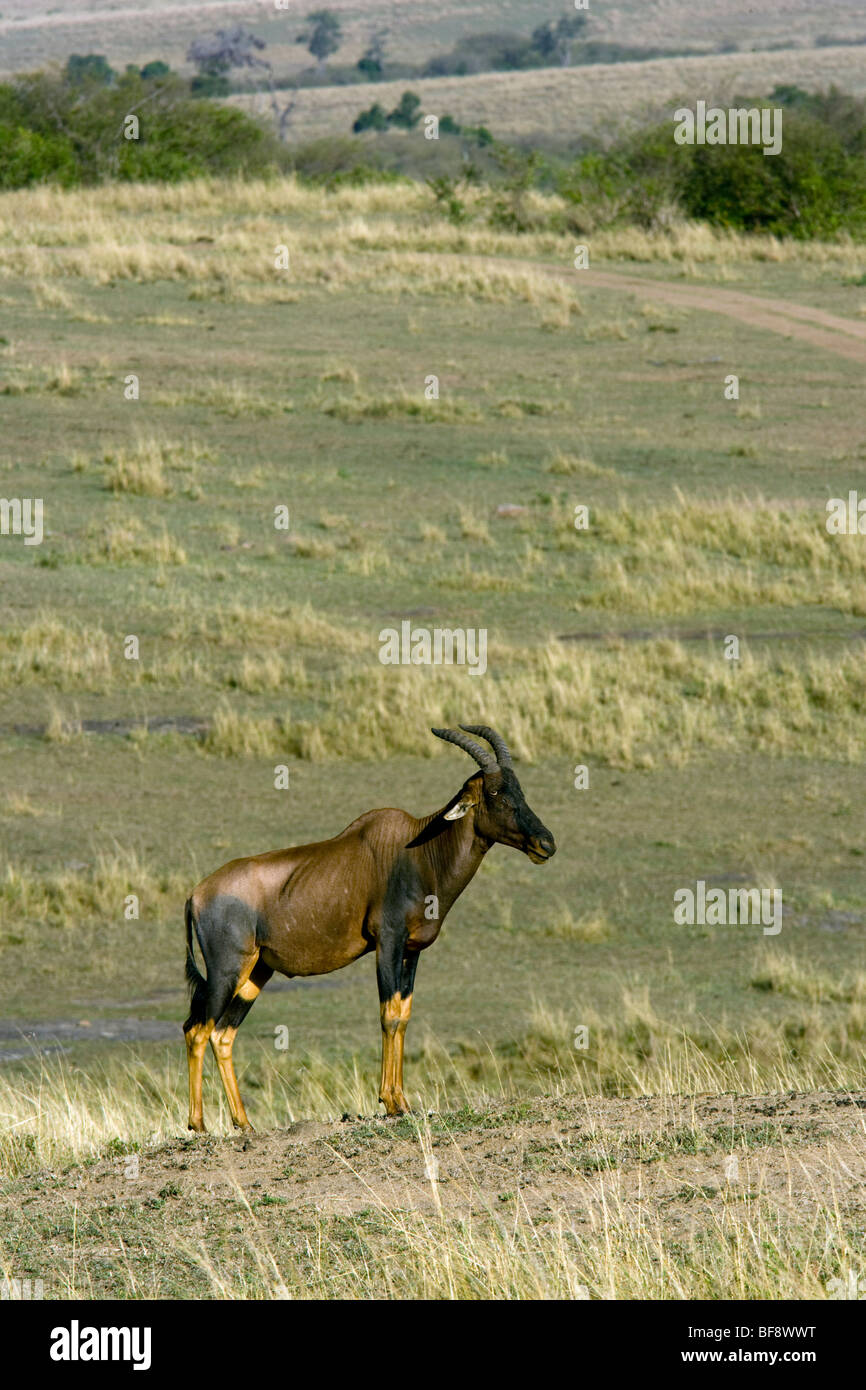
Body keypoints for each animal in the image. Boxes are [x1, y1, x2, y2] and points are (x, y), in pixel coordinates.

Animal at [186, 728, 558, 1128]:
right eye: (494, 793)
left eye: (519, 789)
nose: (546, 844)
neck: (416, 851)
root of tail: (196, 894)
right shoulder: (388, 943)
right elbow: (388, 1015)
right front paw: (391, 1102)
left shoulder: (412, 951)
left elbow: (404, 1015)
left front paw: (402, 1101)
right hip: (226, 971)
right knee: (199, 1030)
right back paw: (199, 1125)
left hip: (257, 972)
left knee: (222, 1034)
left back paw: (243, 1123)